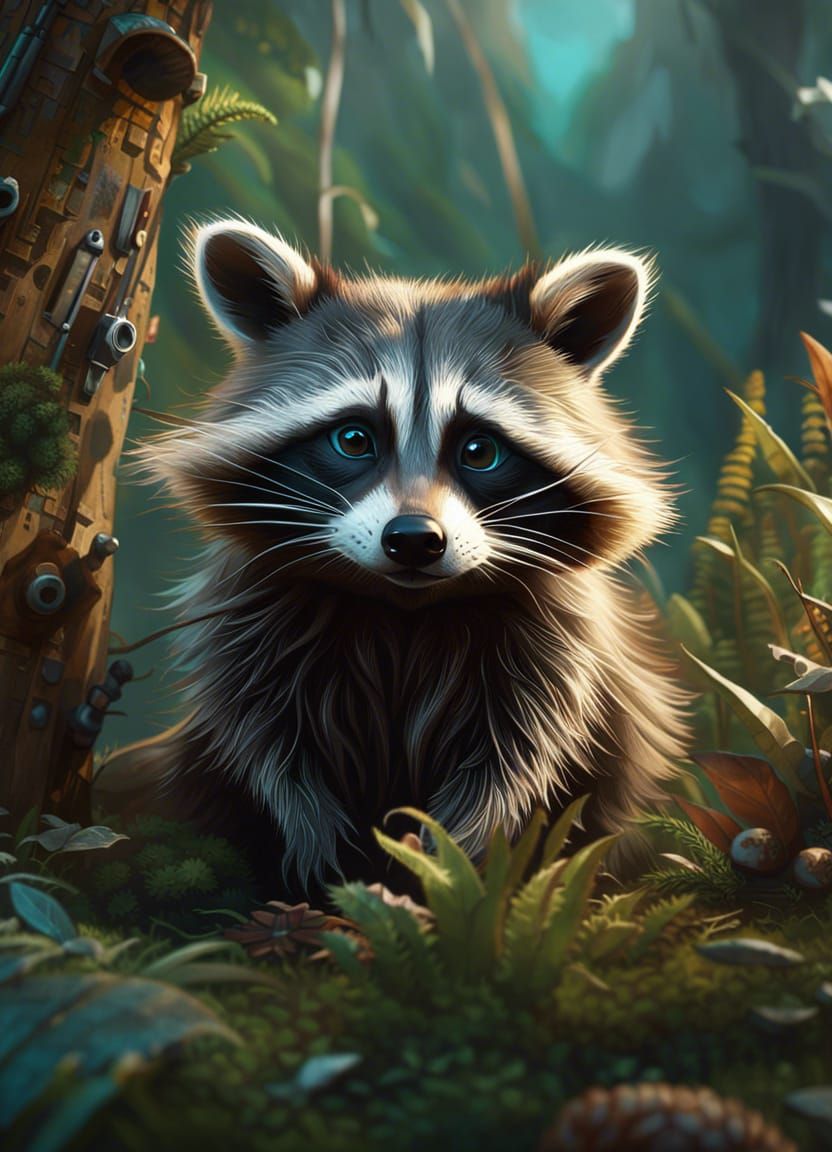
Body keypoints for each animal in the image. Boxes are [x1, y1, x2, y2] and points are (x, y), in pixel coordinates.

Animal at [96, 219, 690, 896]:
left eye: (479, 450)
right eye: (354, 439)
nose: (413, 539)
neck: (405, 612)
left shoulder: (554, 645)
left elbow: (517, 760)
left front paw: (455, 862)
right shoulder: (251, 617)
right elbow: (268, 743)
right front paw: (313, 846)